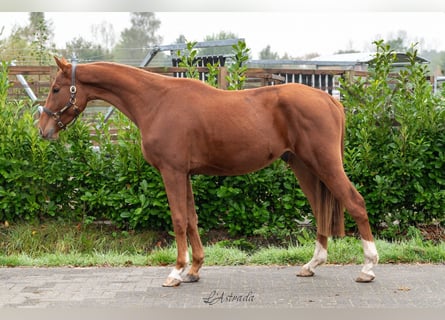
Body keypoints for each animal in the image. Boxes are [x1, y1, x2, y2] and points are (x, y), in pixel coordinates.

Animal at [39, 57, 378, 288]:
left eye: (56, 88)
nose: (43, 130)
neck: (156, 101)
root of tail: (329, 100)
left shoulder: (172, 172)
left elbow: (178, 220)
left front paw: (176, 271)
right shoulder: (185, 174)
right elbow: (191, 219)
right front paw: (194, 269)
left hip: (325, 164)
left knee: (355, 202)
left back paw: (368, 267)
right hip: (303, 166)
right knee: (321, 209)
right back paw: (312, 264)